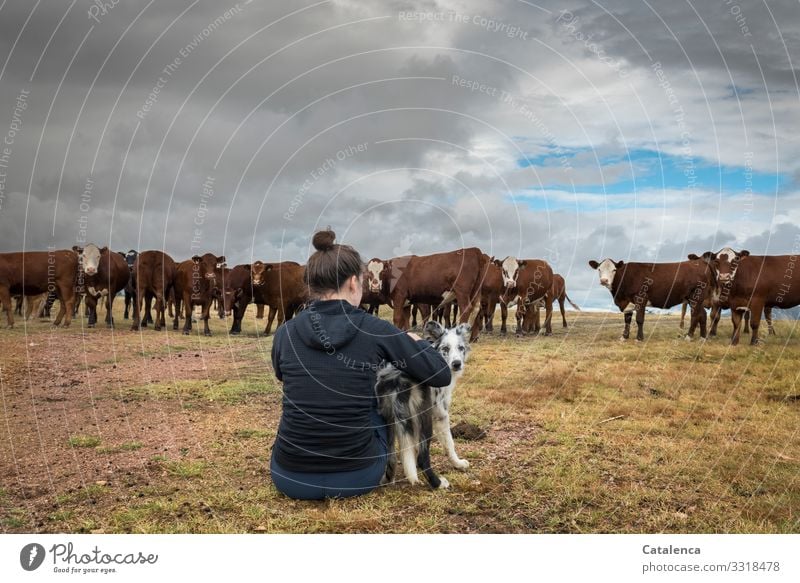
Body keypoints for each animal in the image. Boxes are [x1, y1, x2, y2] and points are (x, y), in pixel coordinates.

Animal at [376, 320, 472, 488]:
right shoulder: (441, 414)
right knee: (423, 457)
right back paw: (438, 483)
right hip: (424, 418)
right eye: (445, 349)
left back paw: (388, 480)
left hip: (388, 419)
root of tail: (397, 379)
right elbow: (450, 444)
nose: (457, 364)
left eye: (461, 348)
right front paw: (458, 463)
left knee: (391, 456)